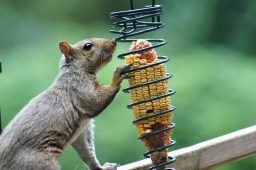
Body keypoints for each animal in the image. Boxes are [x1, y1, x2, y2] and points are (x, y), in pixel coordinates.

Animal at [0, 38, 128, 170]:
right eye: (87, 46)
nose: (113, 42)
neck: (76, 70)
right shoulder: (78, 88)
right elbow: (95, 100)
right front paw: (117, 77)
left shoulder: (82, 131)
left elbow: (87, 152)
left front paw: (102, 167)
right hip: (38, 162)